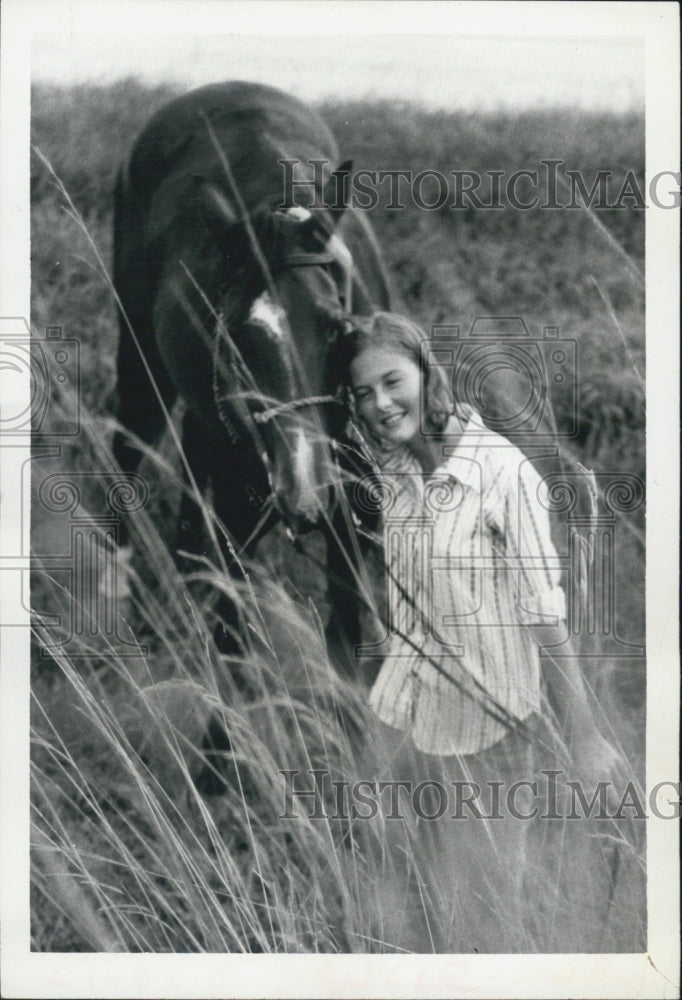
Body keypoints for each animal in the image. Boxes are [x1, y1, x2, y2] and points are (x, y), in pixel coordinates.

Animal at [111, 84, 388, 688]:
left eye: (335, 326)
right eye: (239, 335)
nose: (303, 487)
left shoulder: (351, 509)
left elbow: (348, 638)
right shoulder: (243, 503)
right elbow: (233, 636)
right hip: (141, 365)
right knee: (128, 459)